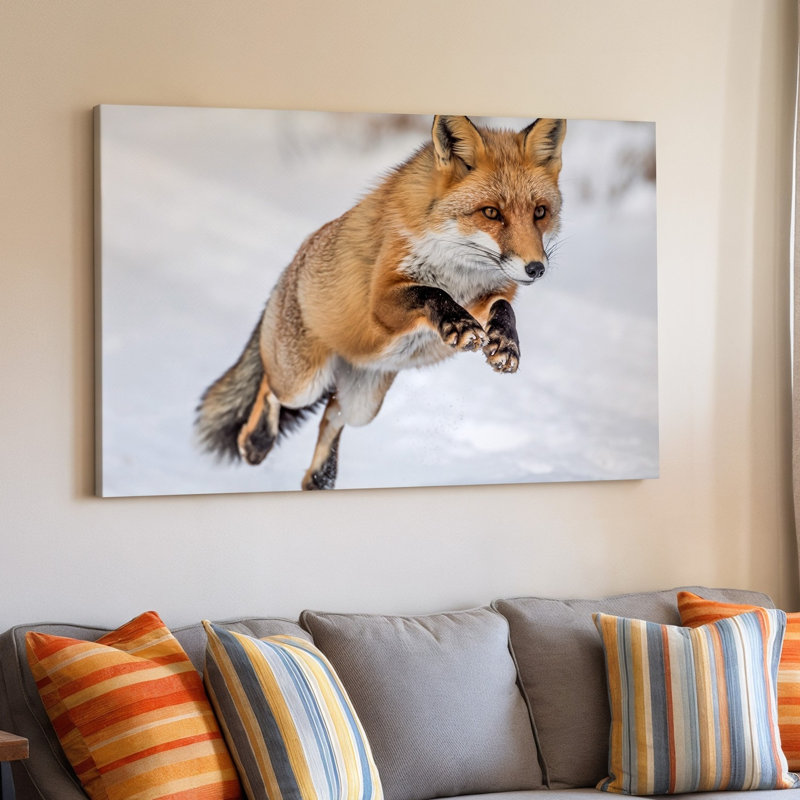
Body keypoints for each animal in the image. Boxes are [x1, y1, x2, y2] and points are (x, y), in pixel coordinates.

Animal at [196, 114, 567, 490]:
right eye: (490, 212)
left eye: (540, 212)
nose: (536, 268)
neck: (455, 268)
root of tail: (290, 269)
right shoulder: (382, 305)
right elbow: (431, 293)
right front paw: (459, 323)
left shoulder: (487, 294)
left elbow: (504, 308)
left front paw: (506, 343)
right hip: (301, 384)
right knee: (268, 388)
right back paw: (256, 442)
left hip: (362, 405)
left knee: (331, 414)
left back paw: (320, 478)